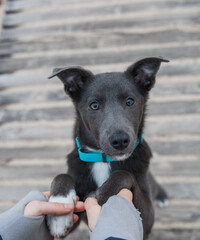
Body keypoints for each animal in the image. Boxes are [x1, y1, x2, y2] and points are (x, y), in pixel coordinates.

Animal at [46, 57, 169, 239]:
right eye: (94, 105)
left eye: (130, 101)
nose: (120, 141)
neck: (102, 159)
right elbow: (61, 175)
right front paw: (58, 208)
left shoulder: (147, 220)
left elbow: (124, 173)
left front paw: (106, 193)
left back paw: (161, 196)